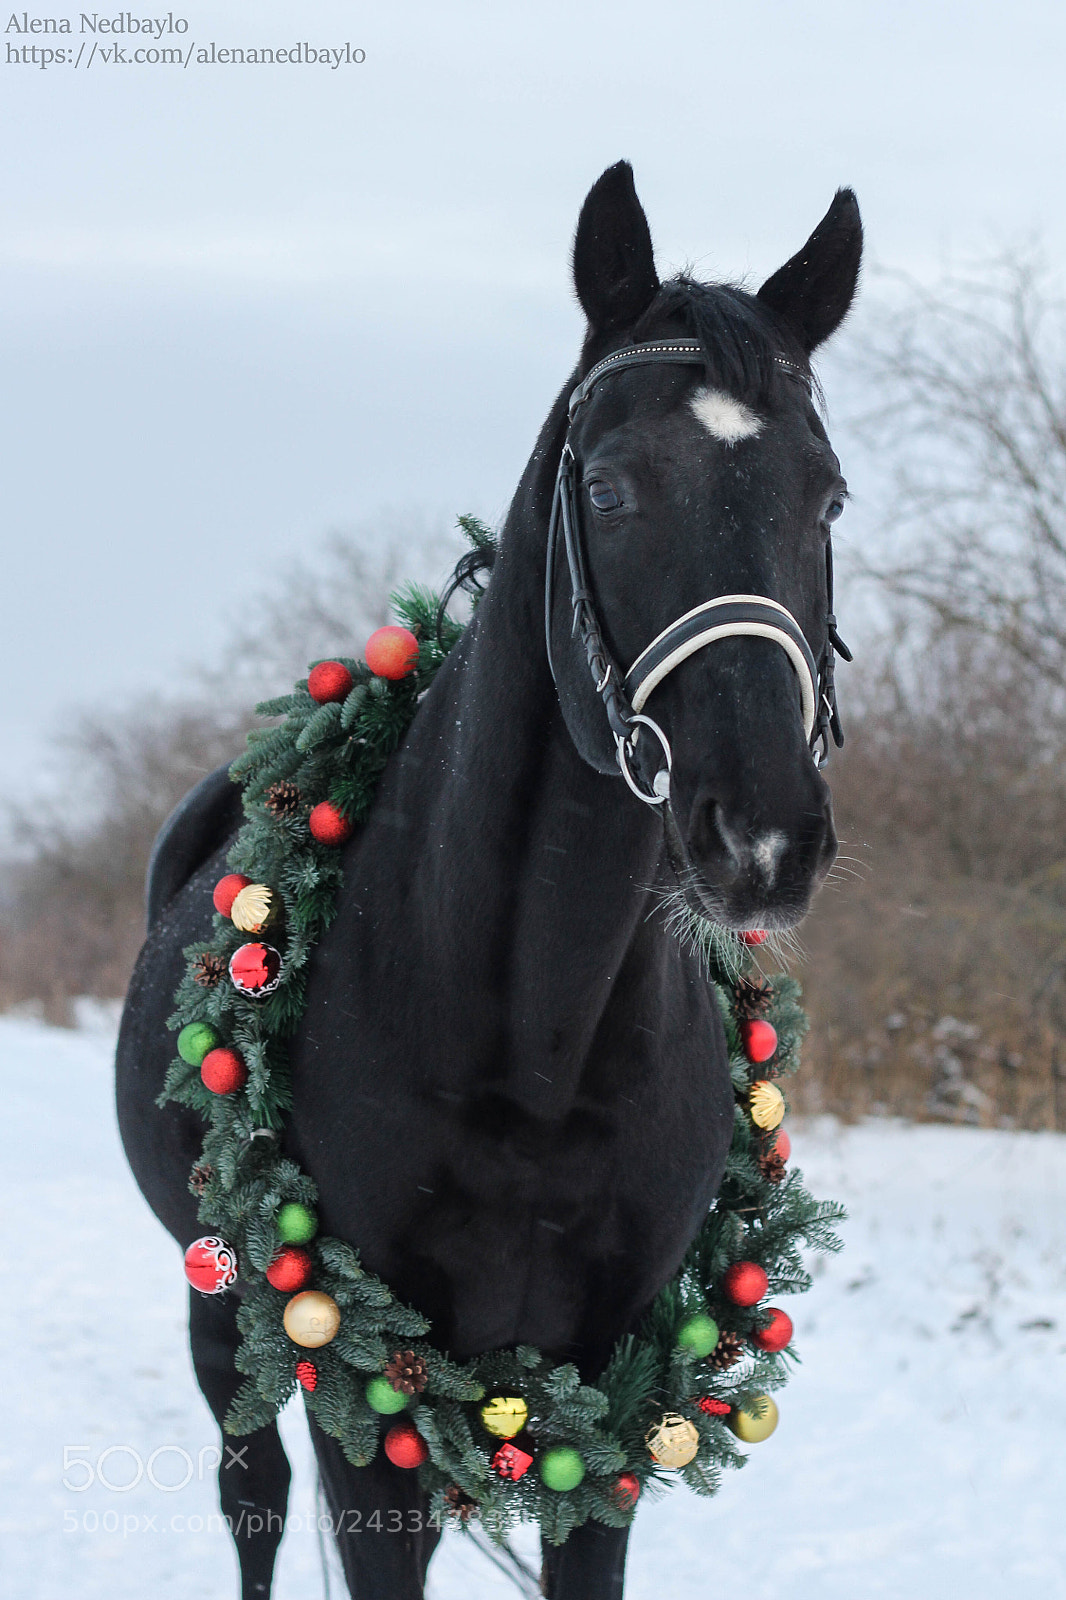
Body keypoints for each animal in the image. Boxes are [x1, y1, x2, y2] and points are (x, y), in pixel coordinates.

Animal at [116, 161, 862, 1599]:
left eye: (828, 495)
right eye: (612, 486)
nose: (762, 838)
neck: (536, 1053)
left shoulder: (619, 1399)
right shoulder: (362, 1404)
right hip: (220, 1302)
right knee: (251, 1497)